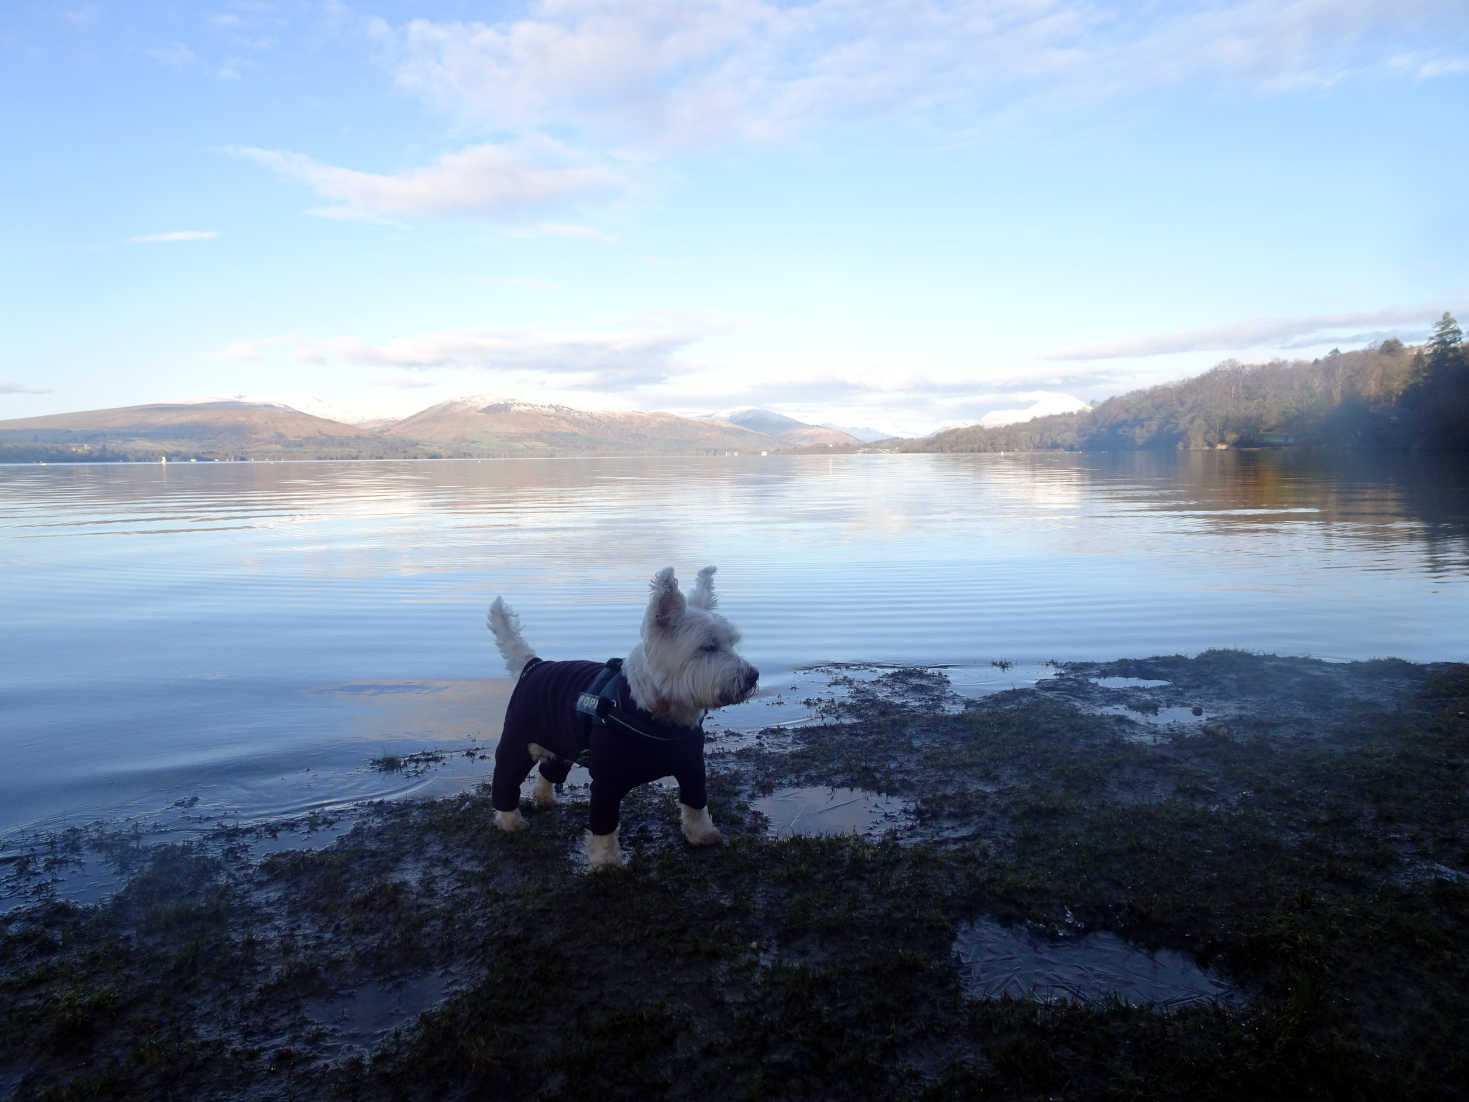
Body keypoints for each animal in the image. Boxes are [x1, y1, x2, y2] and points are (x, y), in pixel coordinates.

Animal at [487, 570, 758, 869]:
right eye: (708, 646)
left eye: (732, 643)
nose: (753, 676)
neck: (659, 716)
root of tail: (534, 664)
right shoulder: (607, 780)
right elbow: (604, 824)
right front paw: (606, 862)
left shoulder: (692, 767)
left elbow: (695, 803)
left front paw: (703, 835)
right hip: (518, 741)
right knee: (505, 781)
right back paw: (510, 821)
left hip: (561, 744)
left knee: (549, 772)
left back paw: (545, 799)